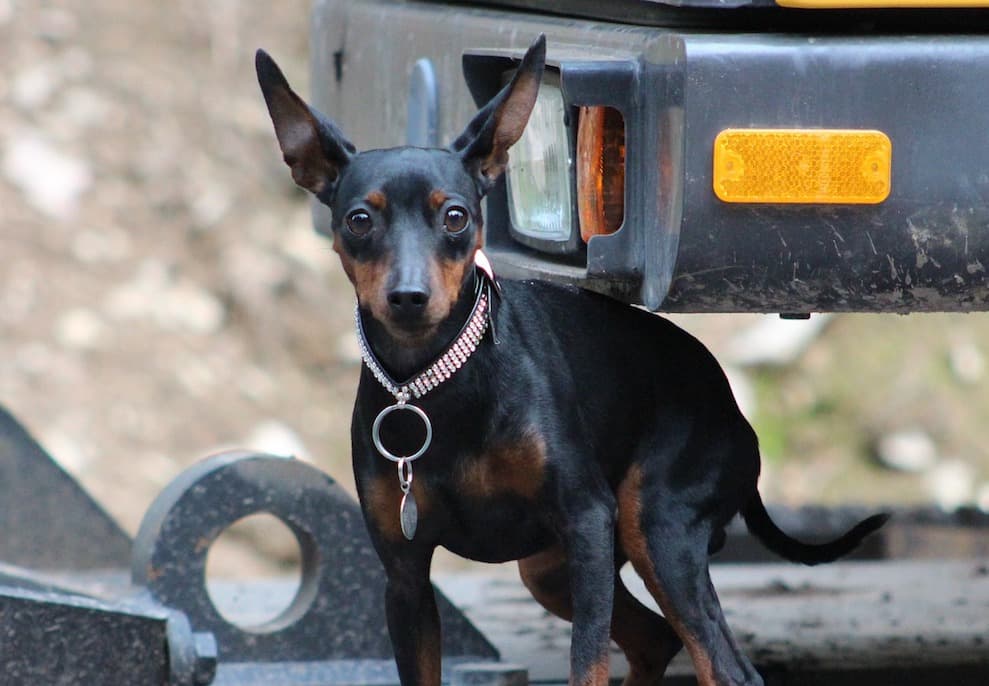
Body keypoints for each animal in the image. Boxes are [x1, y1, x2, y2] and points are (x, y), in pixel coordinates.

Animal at [256, 37, 888, 686]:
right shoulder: (405, 577)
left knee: (724, 667)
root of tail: (735, 410)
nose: (408, 296)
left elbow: (587, 664)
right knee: (657, 639)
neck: (433, 384)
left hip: (655, 528)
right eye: (360, 219)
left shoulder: (587, 520)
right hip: (552, 569)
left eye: (456, 216)